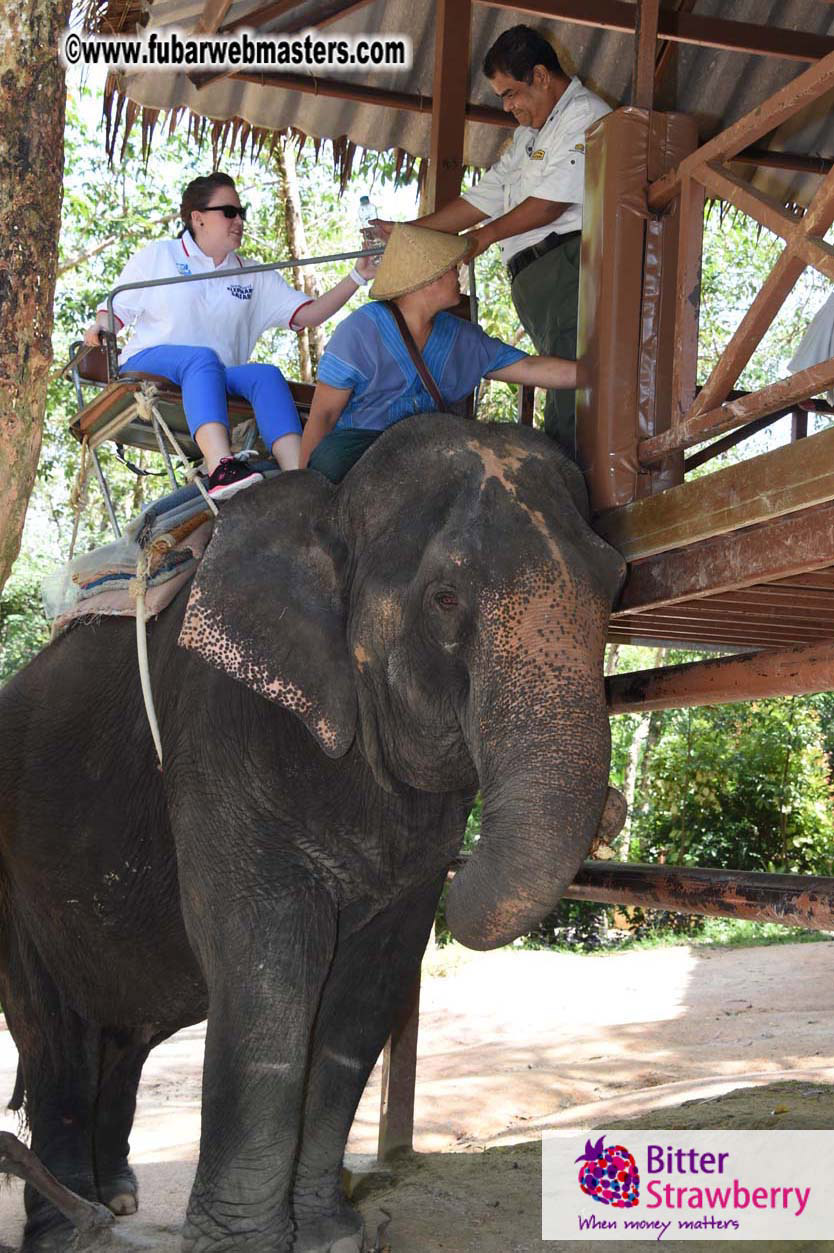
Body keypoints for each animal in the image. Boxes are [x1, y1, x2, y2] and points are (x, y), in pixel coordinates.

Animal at [0, 413, 626, 1252]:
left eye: (616, 584)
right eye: (445, 596)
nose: (612, 813)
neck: (333, 506)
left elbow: (370, 982)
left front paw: (331, 1233)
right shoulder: (219, 730)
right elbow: (269, 964)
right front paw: (245, 1245)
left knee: (121, 1032)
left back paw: (115, 1200)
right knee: (55, 1034)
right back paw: (73, 1229)